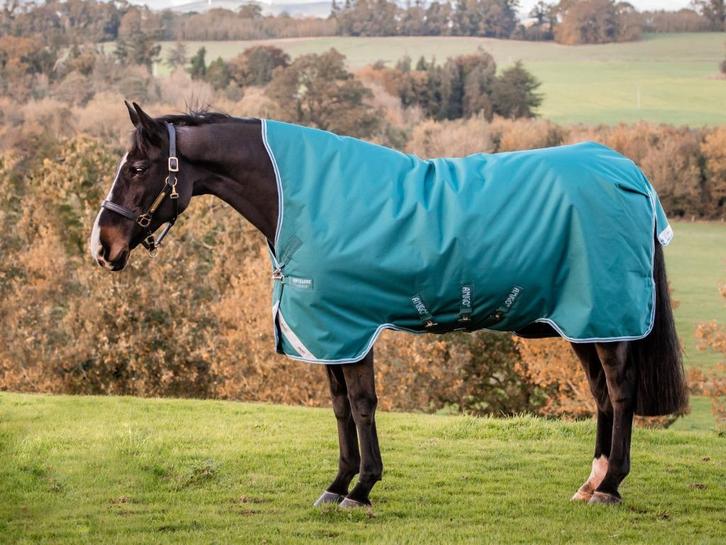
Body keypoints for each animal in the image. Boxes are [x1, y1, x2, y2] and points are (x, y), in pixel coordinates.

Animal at [90, 102, 688, 508]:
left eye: (137, 168)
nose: (102, 246)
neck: (305, 199)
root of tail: (628, 173)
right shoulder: (328, 334)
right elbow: (339, 408)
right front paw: (337, 485)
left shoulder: (350, 328)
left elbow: (361, 404)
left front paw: (362, 488)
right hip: (581, 321)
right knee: (602, 395)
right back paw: (591, 482)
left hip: (606, 317)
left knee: (621, 391)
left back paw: (611, 486)